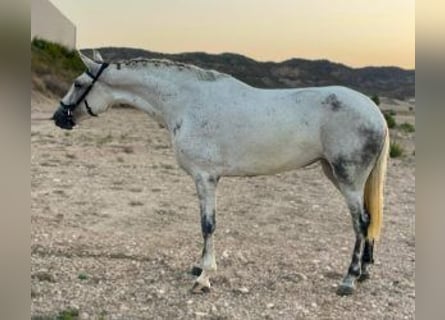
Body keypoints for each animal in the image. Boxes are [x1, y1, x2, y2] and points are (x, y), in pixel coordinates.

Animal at [52, 50, 386, 296]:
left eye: (78, 83)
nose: (58, 117)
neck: (187, 103)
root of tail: (375, 112)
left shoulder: (206, 177)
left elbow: (208, 225)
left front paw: (204, 278)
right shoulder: (205, 179)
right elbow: (204, 225)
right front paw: (199, 267)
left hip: (348, 179)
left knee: (361, 222)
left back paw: (348, 280)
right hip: (336, 174)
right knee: (367, 220)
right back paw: (364, 272)